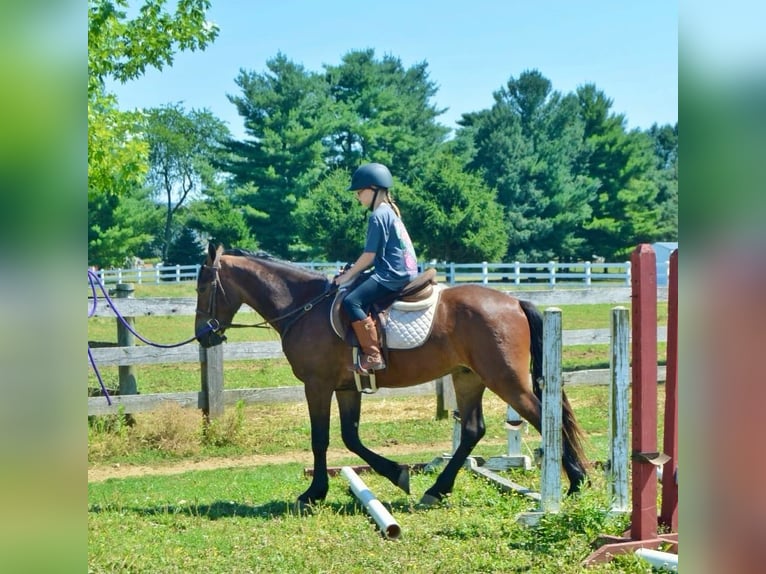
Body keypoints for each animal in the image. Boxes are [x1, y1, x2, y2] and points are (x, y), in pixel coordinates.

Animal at [195, 245, 592, 506]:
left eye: (203, 287)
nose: (203, 335)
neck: (304, 308)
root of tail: (514, 302)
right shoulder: (346, 387)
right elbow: (350, 437)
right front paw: (396, 474)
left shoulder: (317, 385)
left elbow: (321, 439)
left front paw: (314, 493)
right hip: (468, 377)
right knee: (472, 430)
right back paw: (437, 490)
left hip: (506, 380)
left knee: (544, 417)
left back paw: (576, 483)